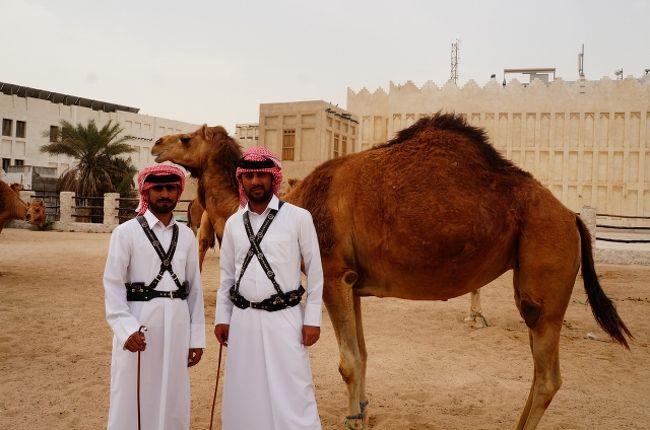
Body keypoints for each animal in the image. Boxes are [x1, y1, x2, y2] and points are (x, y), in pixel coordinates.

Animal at [152, 115, 628, 430]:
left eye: (185, 137)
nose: (156, 144)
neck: (296, 201)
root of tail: (572, 217)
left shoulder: (332, 271)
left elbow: (347, 361)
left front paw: (352, 420)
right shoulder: (352, 283)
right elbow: (362, 355)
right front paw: (363, 414)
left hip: (543, 266)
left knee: (547, 376)